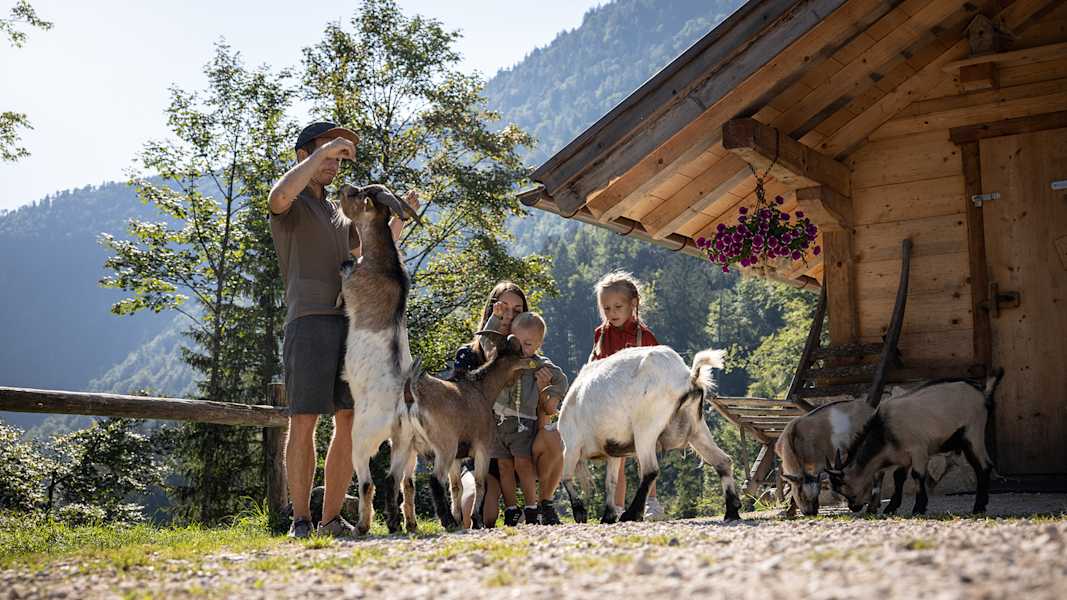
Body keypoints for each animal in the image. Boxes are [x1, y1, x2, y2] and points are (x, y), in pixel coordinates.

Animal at [387, 332, 543, 531]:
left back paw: (395, 525)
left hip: (403, 443)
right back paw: (448, 522)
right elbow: (480, 483)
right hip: (444, 446)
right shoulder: (482, 448)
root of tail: (410, 395)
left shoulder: (457, 457)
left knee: (393, 479)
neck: (481, 390)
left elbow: (456, 487)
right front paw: (476, 520)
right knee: (435, 480)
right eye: (520, 353)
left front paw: (461, 519)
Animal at [559, 346, 742, 523]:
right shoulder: (613, 452)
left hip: (646, 428)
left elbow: (565, 477)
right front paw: (608, 516)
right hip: (697, 429)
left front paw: (580, 513)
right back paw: (732, 511)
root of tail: (688, 377)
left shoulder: (571, 446)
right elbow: (611, 482)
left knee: (650, 471)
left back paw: (631, 514)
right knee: (722, 461)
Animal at [826, 371, 1003, 516]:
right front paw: (891, 507)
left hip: (974, 432)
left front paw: (919, 508)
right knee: (978, 467)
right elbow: (898, 478)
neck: (885, 430)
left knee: (984, 466)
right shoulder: (903, 457)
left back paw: (978, 507)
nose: (853, 507)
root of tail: (983, 392)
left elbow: (917, 476)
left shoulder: (918, 450)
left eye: (844, 488)